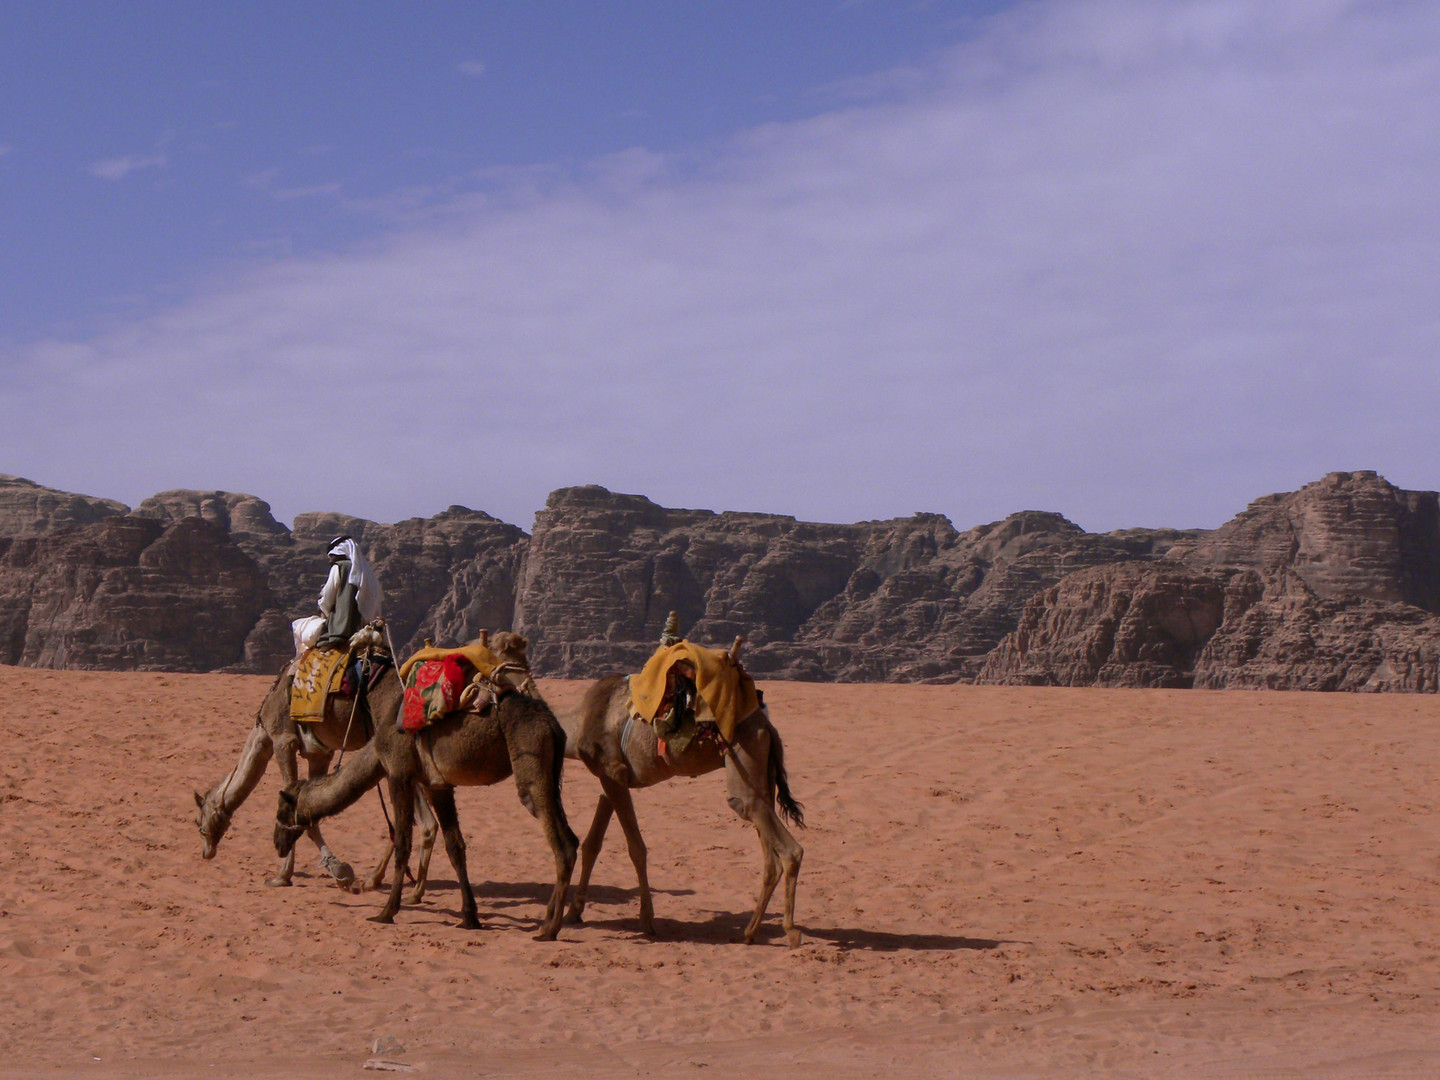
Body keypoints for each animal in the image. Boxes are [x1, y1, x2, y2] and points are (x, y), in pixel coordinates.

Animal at [194, 650, 437, 898]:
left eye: (198, 821)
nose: (206, 852)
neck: (262, 731)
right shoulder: (320, 753)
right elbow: (310, 809)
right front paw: (339, 872)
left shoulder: (283, 740)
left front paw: (287, 875)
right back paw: (386, 882)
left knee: (422, 821)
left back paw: (403, 887)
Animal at [275, 630, 578, 944]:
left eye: (282, 809)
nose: (278, 843)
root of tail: (552, 725)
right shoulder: (438, 785)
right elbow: (456, 846)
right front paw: (470, 917)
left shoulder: (398, 773)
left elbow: (403, 842)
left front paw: (386, 911)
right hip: (550, 774)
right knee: (570, 838)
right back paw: (548, 920)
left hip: (532, 765)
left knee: (562, 843)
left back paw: (550, 929)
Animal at [561, 642, 812, 944]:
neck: (579, 722)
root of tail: (768, 727)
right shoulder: (610, 779)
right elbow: (592, 844)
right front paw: (574, 912)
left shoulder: (613, 772)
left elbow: (636, 848)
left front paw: (647, 920)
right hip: (764, 773)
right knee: (770, 854)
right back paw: (750, 931)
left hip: (745, 757)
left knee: (784, 845)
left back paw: (790, 930)